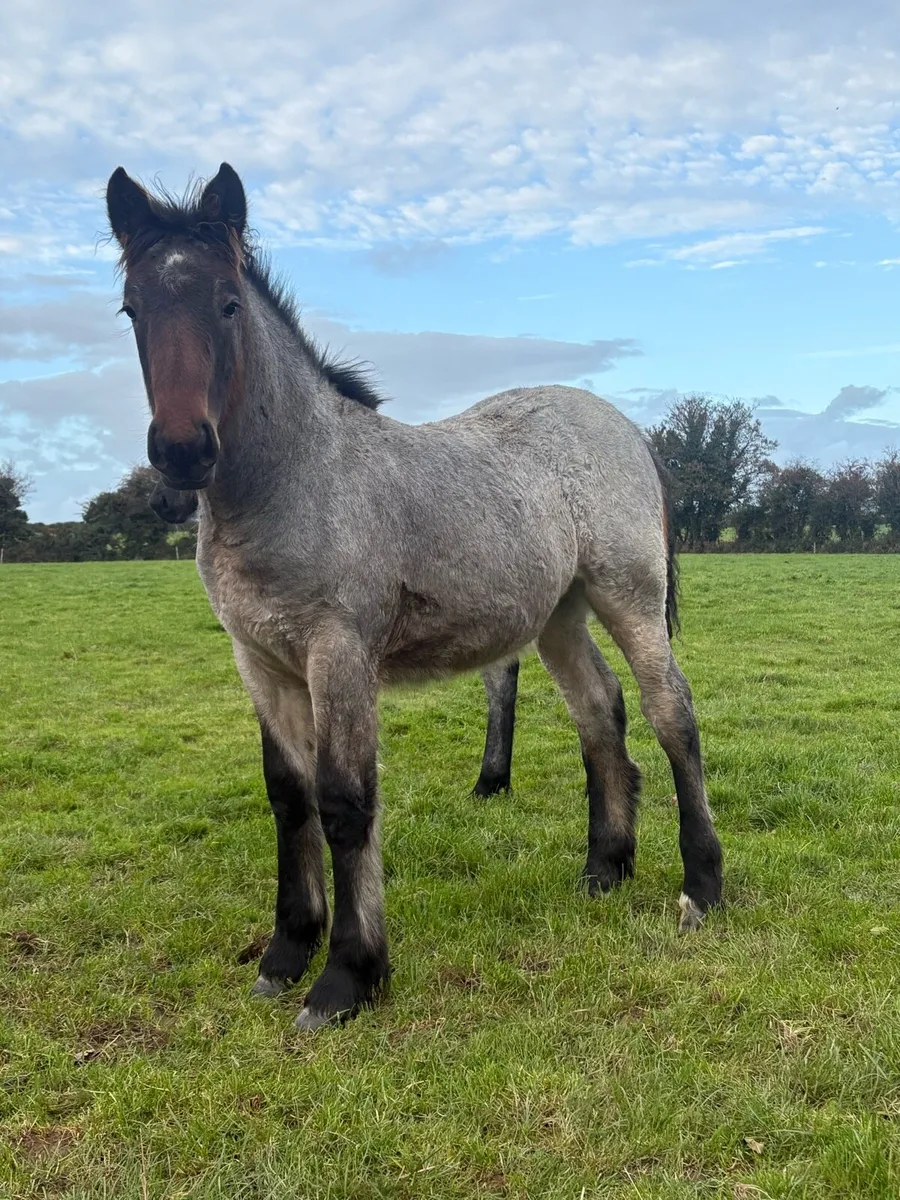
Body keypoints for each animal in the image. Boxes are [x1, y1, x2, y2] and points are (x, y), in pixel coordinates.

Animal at [108, 162, 722, 1030]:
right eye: (133, 309)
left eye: (227, 303)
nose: (181, 453)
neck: (297, 479)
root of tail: (625, 427)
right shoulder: (259, 661)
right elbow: (288, 798)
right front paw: (285, 954)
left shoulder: (340, 653)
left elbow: (345, 802)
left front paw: (347, 977)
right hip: (558, 614)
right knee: (600, 711)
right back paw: (604, 869)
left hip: (628, 596)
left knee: (674, 715)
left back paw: (702, 887)